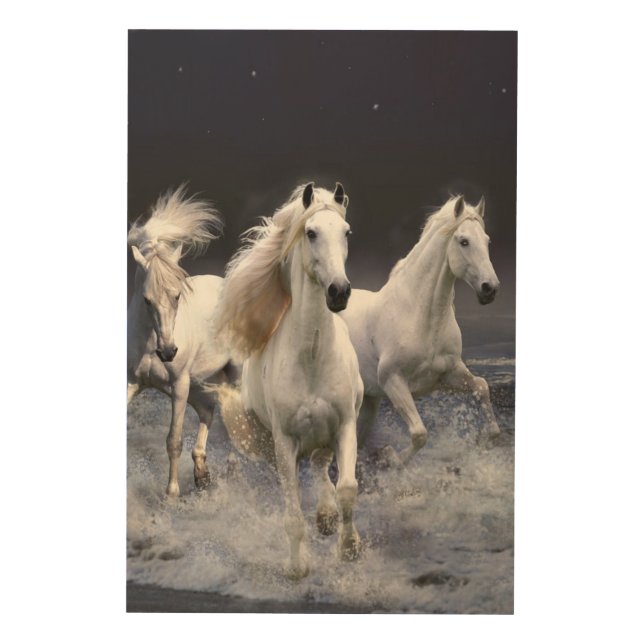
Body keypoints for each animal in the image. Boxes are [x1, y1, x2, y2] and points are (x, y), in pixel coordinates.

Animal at [127, 186, 240, 497]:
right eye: (146, 299)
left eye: (177, 295)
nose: (168, 351)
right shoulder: (131, 383)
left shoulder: (178, 385)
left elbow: (174, 440)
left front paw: (172, 494)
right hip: (199, 382)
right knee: (208, 411)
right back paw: (202, 473)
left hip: (231, 375)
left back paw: (230, 470)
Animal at [215, 182, 363, 579]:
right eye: (310, 233)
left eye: (346, 233)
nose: (339, 292)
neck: (311, 358)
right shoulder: (284, 442)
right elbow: (293, 514)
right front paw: (298, 567)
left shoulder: (345, 425)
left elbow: (347, 488)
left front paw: (349, 548)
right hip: (273, 445)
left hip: (325, 436)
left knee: (321, 467)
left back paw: (327, 518)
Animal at [339, 195, 501, 465]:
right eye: (464, 241)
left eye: (487, 240)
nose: (490, 289)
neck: (420, 317)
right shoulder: (393, 381)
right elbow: (419, 433)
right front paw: (391, 457)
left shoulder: (448, 374)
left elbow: (481, 387)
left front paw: (485, 439)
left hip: (369, 402)